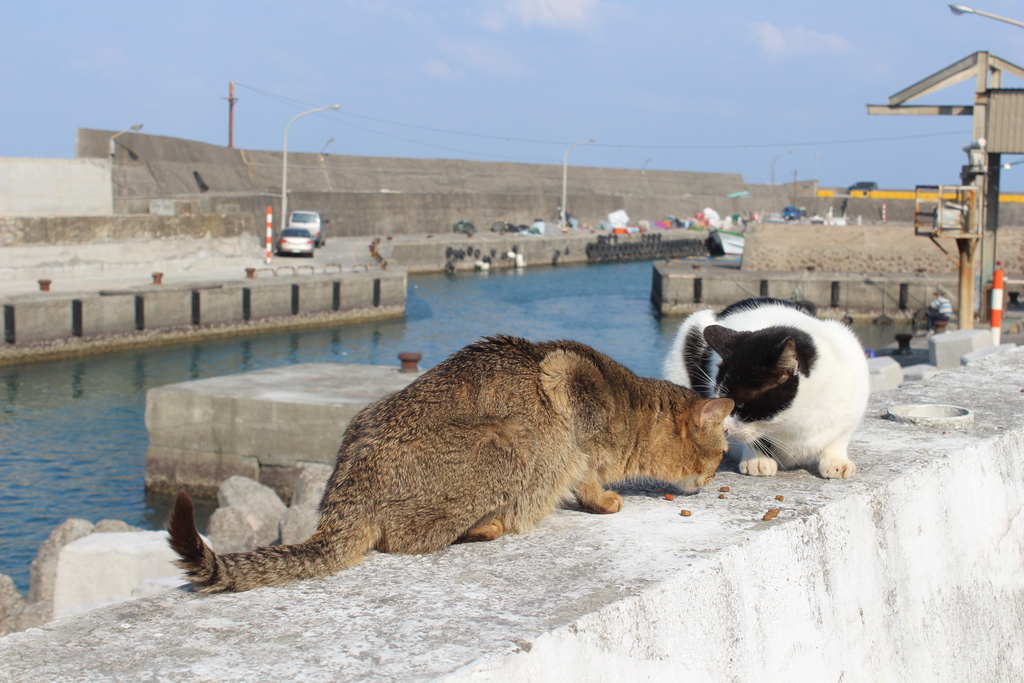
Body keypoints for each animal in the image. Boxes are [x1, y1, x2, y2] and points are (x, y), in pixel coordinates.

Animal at [165, 335, 729, 593]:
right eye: (721, 451)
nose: (711, 476)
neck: (631, 407)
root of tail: (345, 493)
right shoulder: (567, 386)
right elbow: (586, 475)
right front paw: (605, 499)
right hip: (506, 441)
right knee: (407, 537)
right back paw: (486, 526)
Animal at [663, 299, 872, 481]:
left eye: (741, 404)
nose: (723, 428)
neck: (795, 421)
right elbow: (755, 438)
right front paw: (758, 459)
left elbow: (840, 435)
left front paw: (836, 460)